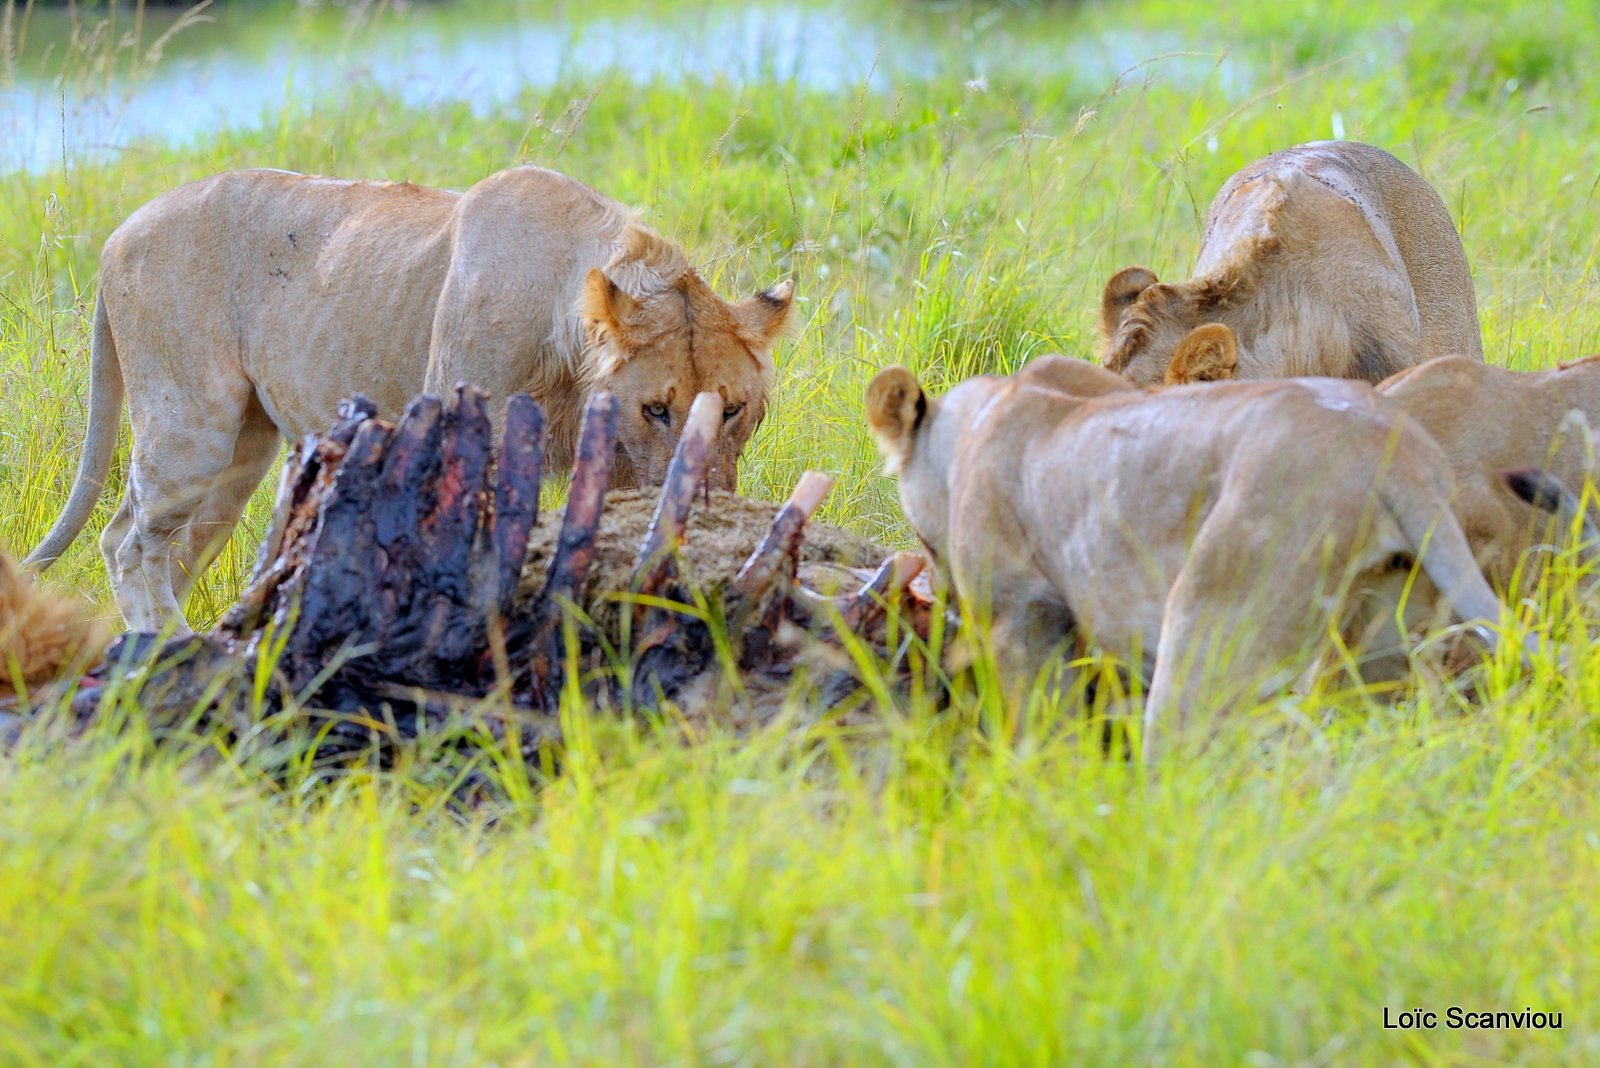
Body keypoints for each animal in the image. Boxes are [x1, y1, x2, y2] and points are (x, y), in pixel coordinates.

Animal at [21, 164, 796, 633]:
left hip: (239, 455)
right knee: (126, 543)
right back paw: (167, 652)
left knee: (163, 548)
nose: (712, 504)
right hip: (191, 427)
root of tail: (119, 232)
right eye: (656, 409)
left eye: (732, 409)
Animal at [864, 362, 1523, 754]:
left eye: (922, 537)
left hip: (1213, 622)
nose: (939, 593)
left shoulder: (1018, 614)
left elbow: (1038, 722)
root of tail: (1394, 449)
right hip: (1385, 633)